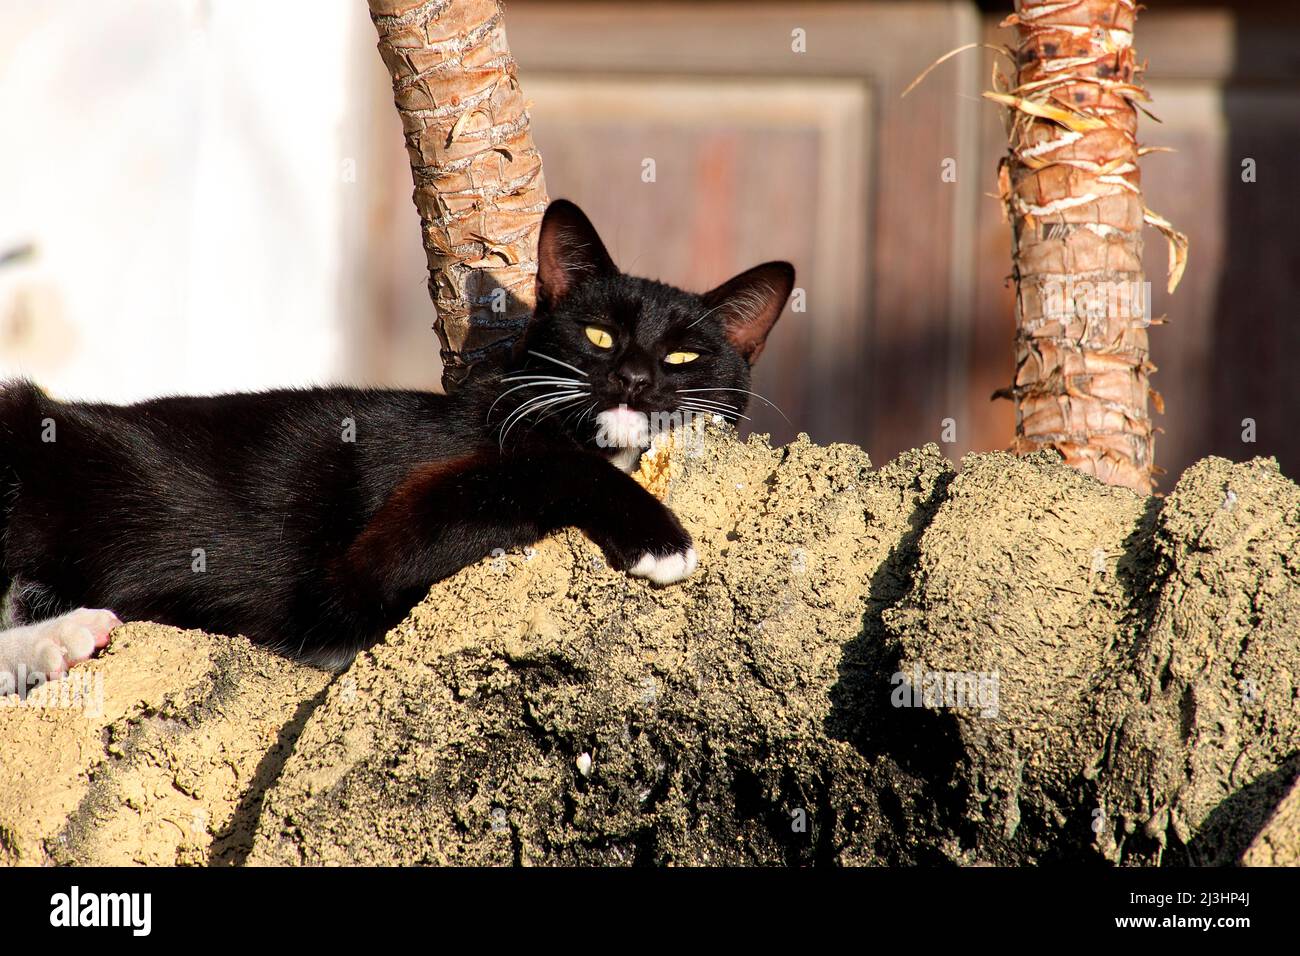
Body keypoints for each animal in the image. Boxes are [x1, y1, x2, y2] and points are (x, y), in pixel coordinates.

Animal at [0, 197, 790, 686]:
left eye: (683, 357)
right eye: (598, 335)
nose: (631, 378)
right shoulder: (371, 560)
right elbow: (543, 466)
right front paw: (662, 538)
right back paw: (62, 638)